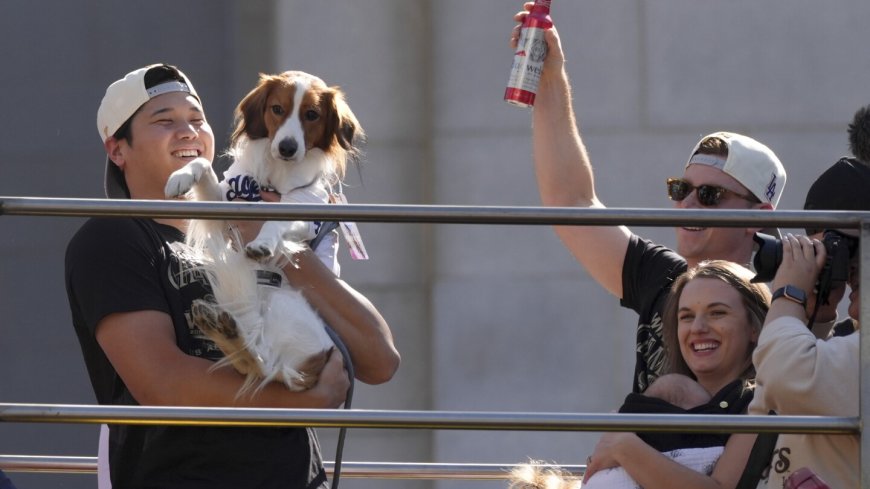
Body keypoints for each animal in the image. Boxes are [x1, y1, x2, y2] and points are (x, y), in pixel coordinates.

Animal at [166, 70, 364, 392]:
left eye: (312, 115)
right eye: (277, 109)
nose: (287, 147)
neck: (278, 176)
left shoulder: (304, 210)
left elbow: (275, 222)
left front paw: (263, 245)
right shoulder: (224, 209)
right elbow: (202, 164)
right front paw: (180, 176)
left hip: (285, 308)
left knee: (263, 364)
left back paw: (229, 333)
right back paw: (222, 328)